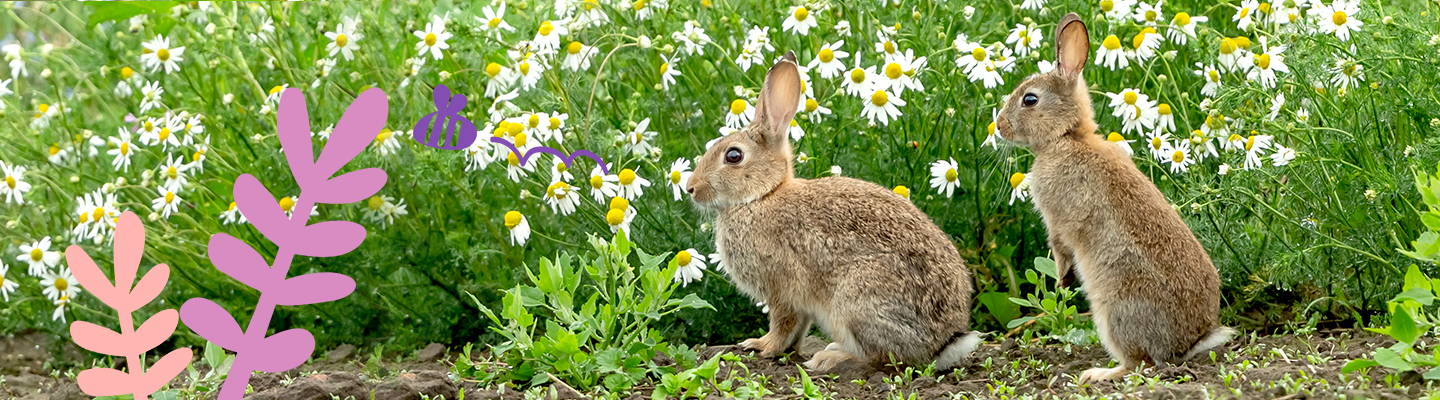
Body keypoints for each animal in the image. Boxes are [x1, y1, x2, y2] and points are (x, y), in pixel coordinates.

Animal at [682, 52, 979, 371]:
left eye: (733, 156)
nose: (691, 188)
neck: (762, 195)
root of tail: (943, 344)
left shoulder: (782, 289)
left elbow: (783, 323)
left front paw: (762, 346)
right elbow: (798, 329)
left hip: (853, 302)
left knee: (883, 359)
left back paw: (831, 357)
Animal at [990, 12, 1238, 382]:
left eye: (1029, 100)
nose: (1001, 125)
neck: (1067, 137)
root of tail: (1188, 342)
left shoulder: (1058, 219)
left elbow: (1061, 248)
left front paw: (1061, 282)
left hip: (1114, 312)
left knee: (1139, 362)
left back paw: (1097, 374)